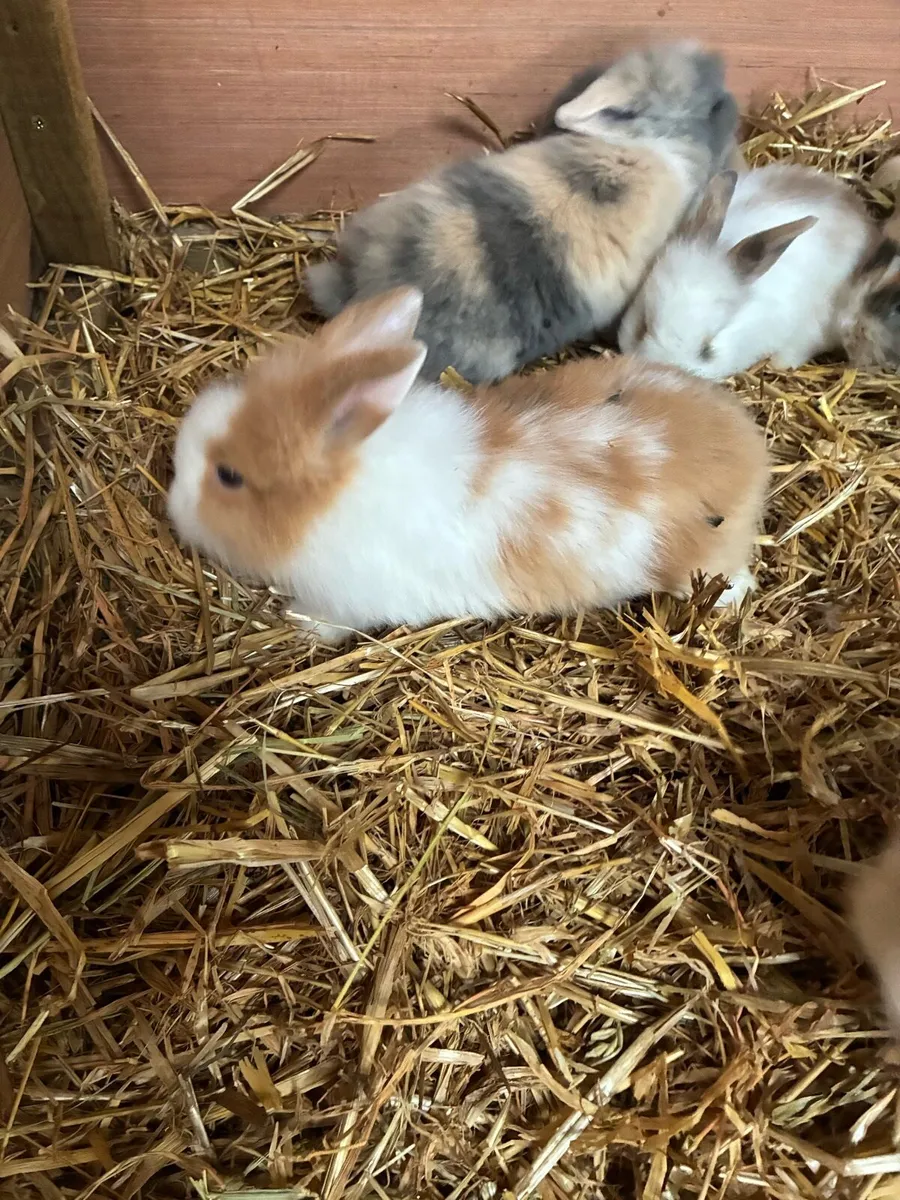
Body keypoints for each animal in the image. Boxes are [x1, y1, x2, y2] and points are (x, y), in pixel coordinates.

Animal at [168, 286, 769, 643]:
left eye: (228, 476)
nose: (172, 507)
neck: (335, 492)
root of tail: (751, 450)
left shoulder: (345, 599)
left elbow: (326, 620)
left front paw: (297, 629)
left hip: (701, 564)